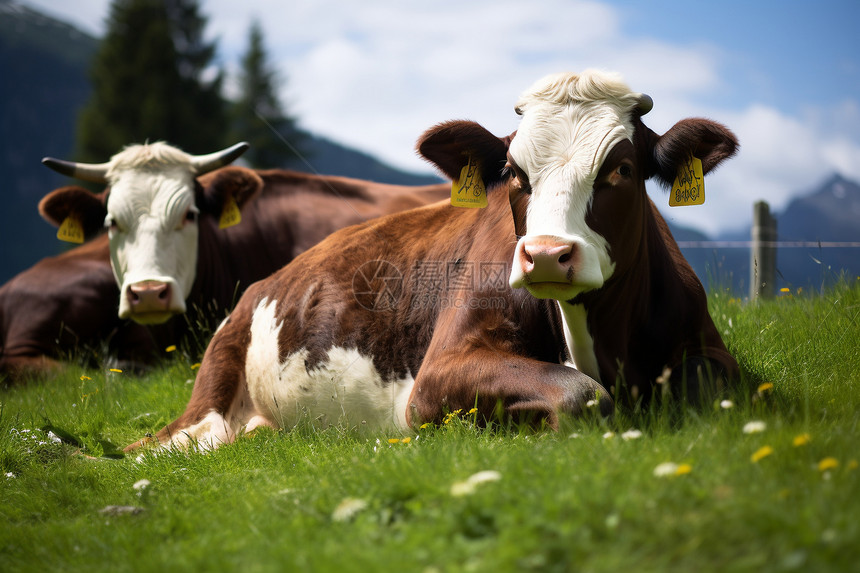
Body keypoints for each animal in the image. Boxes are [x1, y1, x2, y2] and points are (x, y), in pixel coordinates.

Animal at [127, 69, 740, 450]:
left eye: (622, 169)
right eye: (514, 172)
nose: (546, 255)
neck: (598, 340)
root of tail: (261, 283)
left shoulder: (710, 350)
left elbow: (714, 387)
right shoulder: (436, 374)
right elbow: (579, 394)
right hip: (209, 394)